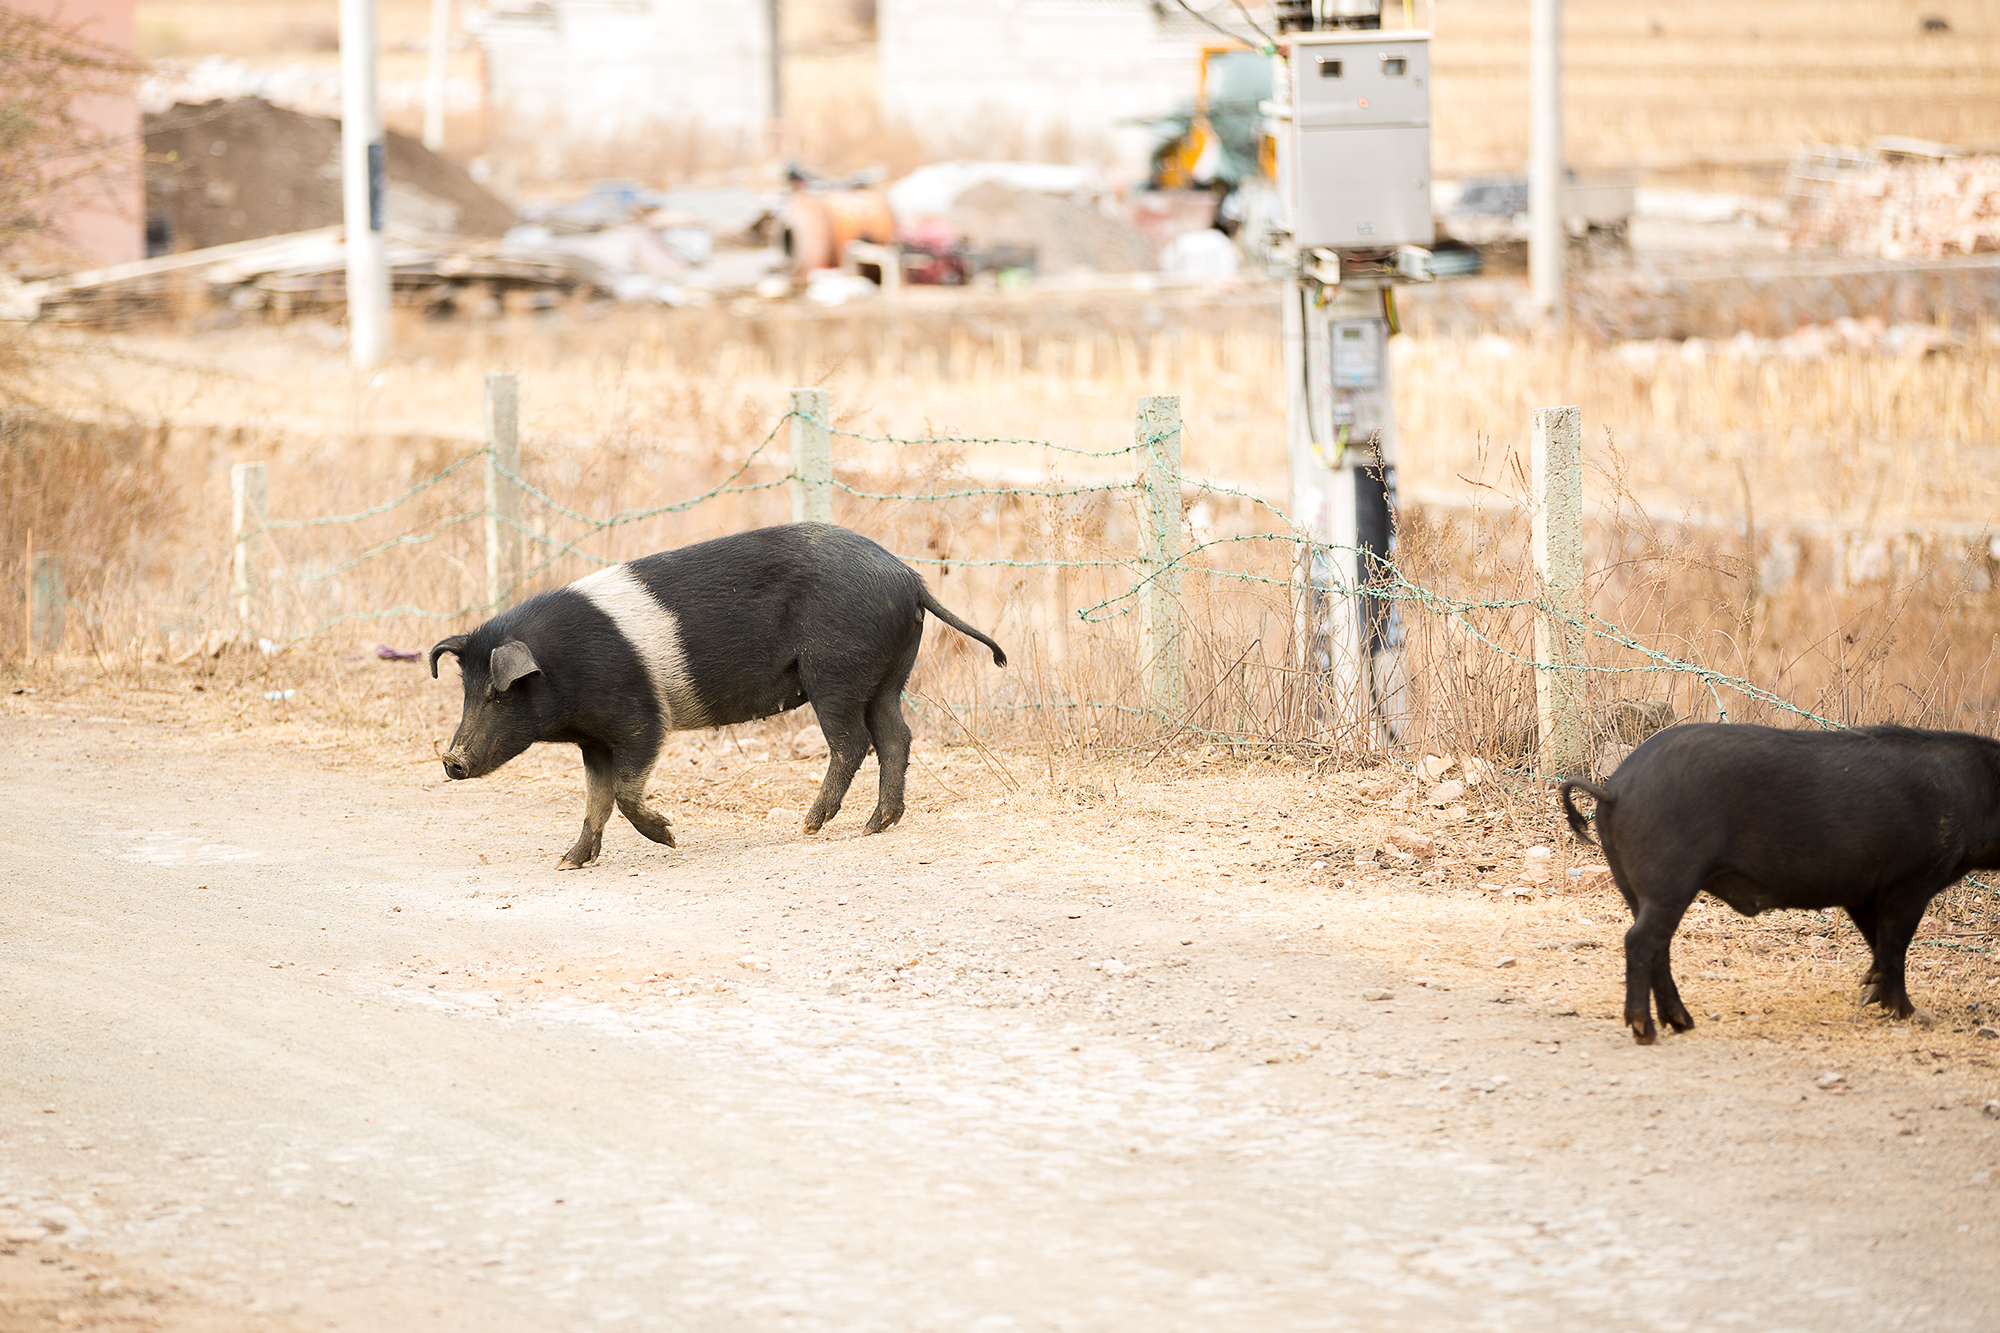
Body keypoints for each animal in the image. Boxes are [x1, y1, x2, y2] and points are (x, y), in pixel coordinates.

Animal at [432, 524, 1008, 868]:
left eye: (500, 695)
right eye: (467, 690)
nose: (451, 761)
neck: (565, 667)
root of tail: (909, 577)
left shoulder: (642, 719)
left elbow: (624, 791)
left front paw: (670, 836)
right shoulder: (594, 740)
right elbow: (596, 800)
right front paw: (568, 862)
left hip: (834, 672)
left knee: (853, 743)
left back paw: (809, 825)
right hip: (887, 677)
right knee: (896, 737)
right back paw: (873, 827)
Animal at [1560, 728, 2000, 1040]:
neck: (1972, 794)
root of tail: (1616, 788)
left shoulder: (1863, 892)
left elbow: (1877, 942)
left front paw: (1867, 991)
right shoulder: (1909, 882)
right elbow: (1894, 946)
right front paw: (1910, 1014)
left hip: (1633, 886)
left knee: (1658, 947)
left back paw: (1683, 1023)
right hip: (1670, 878)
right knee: (1640, 941)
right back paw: (1647, 1031)